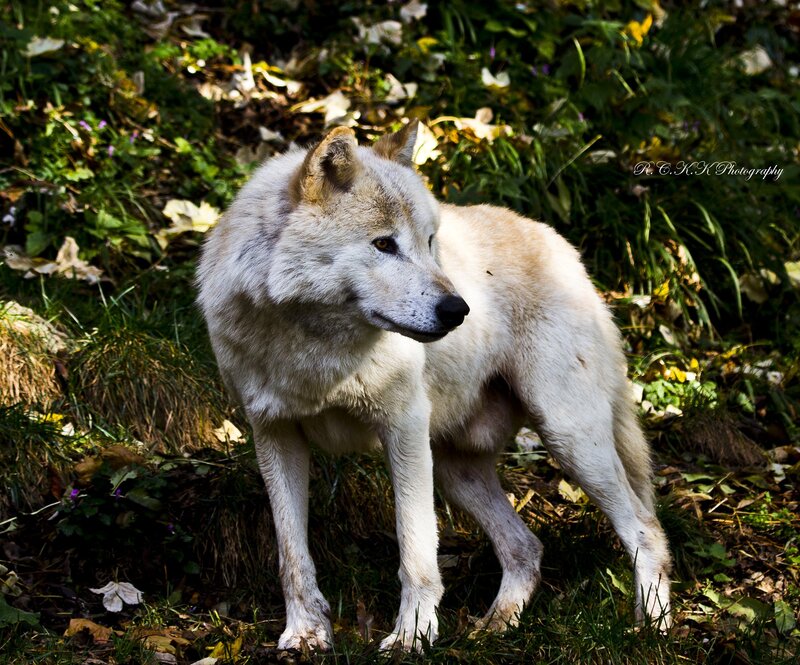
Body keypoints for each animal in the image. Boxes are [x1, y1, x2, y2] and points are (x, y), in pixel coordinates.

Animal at [196, 121, 672, 651]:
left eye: (428, 242)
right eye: (384, 244)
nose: (458, 310)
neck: (313, 349)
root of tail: (564, 248)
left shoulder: (403, 429)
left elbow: (416, 553)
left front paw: (413, 637)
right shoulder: (274, 435)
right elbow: (292, 555)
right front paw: (304, 634)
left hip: (569, 439)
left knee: (646, 529)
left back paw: (653, 628)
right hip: (455, 469)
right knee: (526, 547)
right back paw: (496, 624)